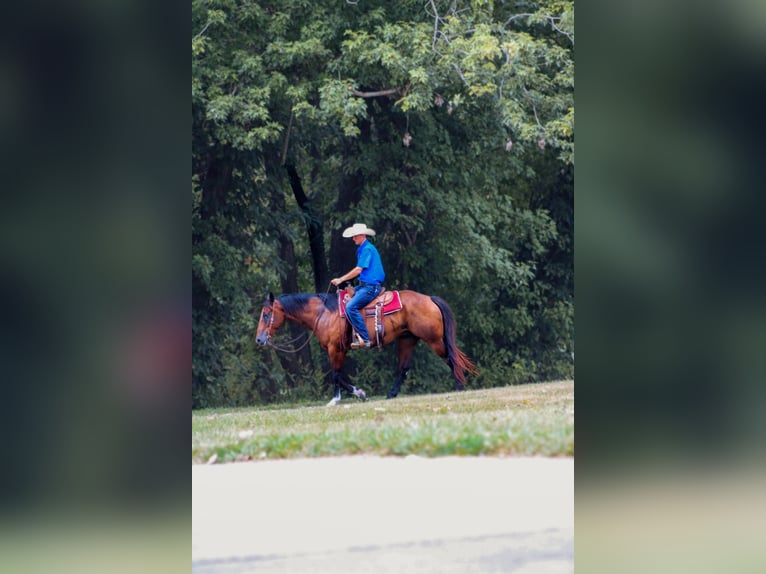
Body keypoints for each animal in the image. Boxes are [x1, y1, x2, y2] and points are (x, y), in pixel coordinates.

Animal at [255, 290, 476, 408]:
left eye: (266, 314)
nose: (259, 339)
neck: (323, 313)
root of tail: (429, 298)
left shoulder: (335, 349)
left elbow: (335, 375)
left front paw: (335, 399)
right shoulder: (339, 350)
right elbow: (339, 376)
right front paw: (360, 393)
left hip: (434, 340)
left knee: (451, 358)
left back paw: (459, 386)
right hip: (407, 340)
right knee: (403, 369)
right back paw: (391, 394)